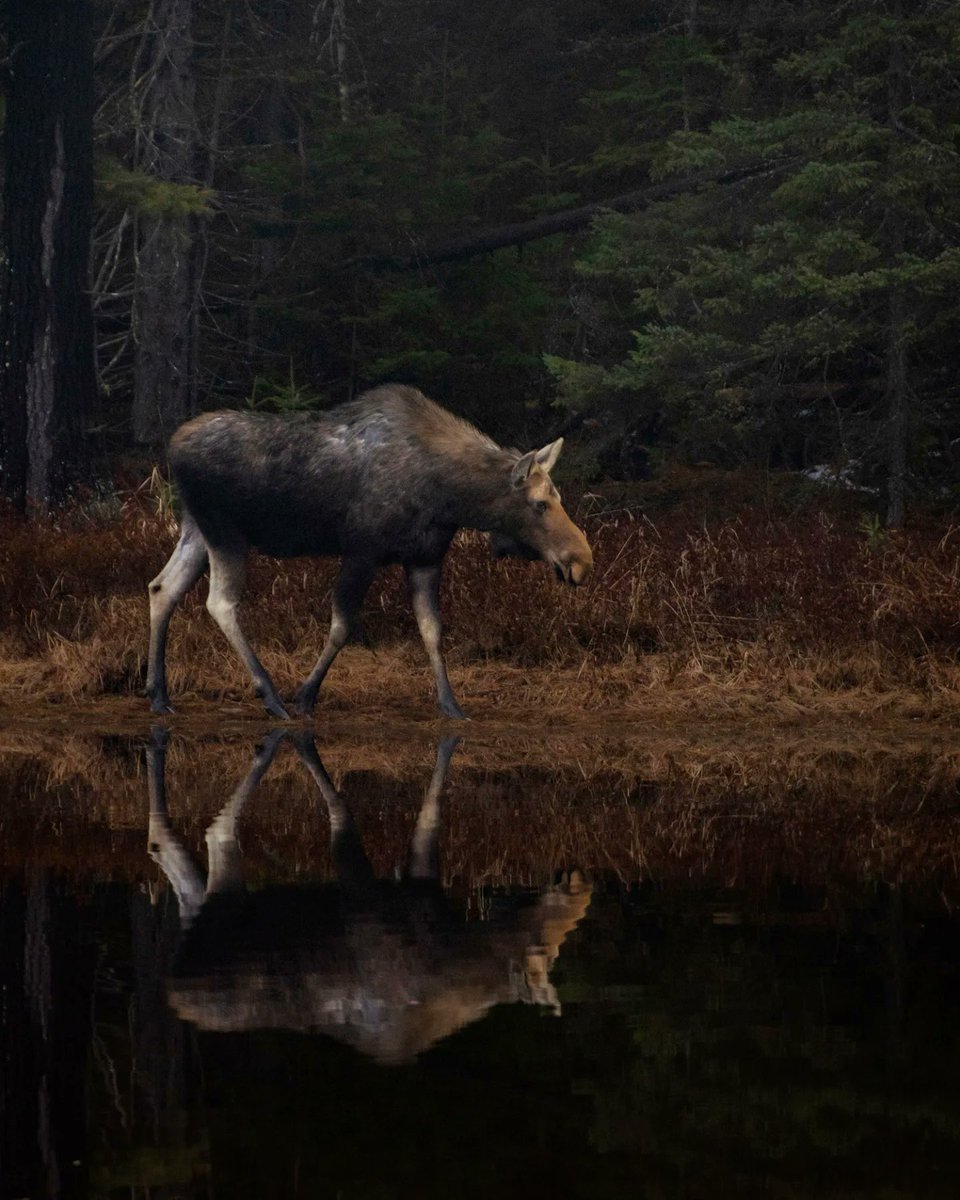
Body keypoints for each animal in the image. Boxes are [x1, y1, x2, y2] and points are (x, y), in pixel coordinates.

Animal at [145, 384, 593, 719]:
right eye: (540, 504)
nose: (582, 560)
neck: (450, 498)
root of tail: (172, 446)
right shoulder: (362, 550)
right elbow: (343, 625)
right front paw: (305, 695)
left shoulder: (425, 558)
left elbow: (432, 631)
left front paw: (451, 704)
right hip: (225, 530)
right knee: (220, 602)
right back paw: (270, 695)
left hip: (196, 527)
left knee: (162, 587)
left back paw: (158, 693)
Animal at [146, 731, 592, 1065]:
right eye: (543, 951)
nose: (579, 882)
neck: (458, 947)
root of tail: (173, 986)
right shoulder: (364, 892)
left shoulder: (418, 880)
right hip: (227, 895)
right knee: (214, 835)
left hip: (210, 903)